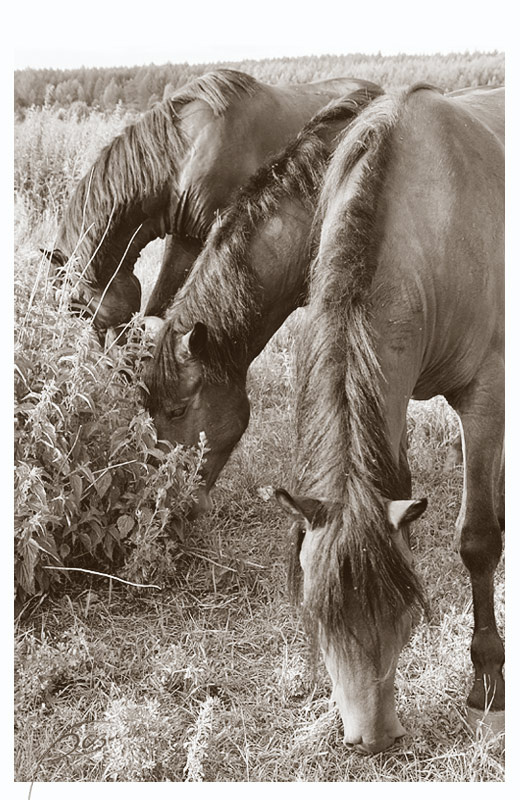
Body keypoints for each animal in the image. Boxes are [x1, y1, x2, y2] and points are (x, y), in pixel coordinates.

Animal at [275, 84, 504, 753]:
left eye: (403, 613)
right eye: (318, 615)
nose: (372, 738)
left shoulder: (487, 393)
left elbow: (477, 540)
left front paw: (487, 681)